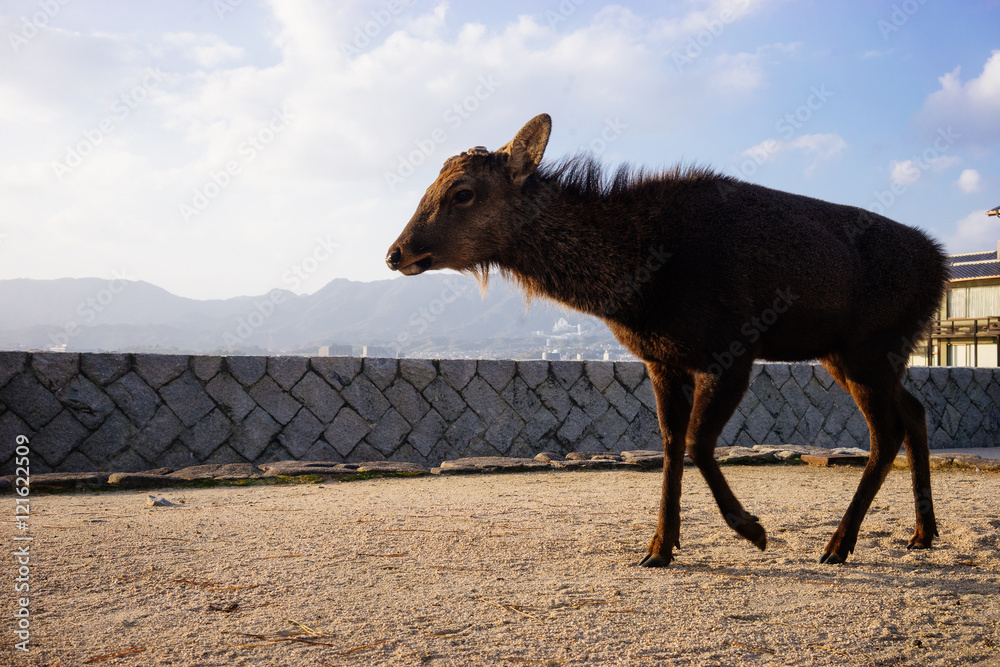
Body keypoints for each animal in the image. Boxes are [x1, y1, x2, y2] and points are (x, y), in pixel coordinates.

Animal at [386, 113, 948, 567]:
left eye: (462, 192)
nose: (395, 252)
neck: (637, 286)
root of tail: (940, 267)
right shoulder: (661, 359)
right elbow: (671, 443)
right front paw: (659, 548)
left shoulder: (732, 349)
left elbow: (698, 442)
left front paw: (752, 529)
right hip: (852, 354)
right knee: (914, 410)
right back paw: (922, 532)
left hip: (870, 346)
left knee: (886, 433)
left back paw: (839, 543)